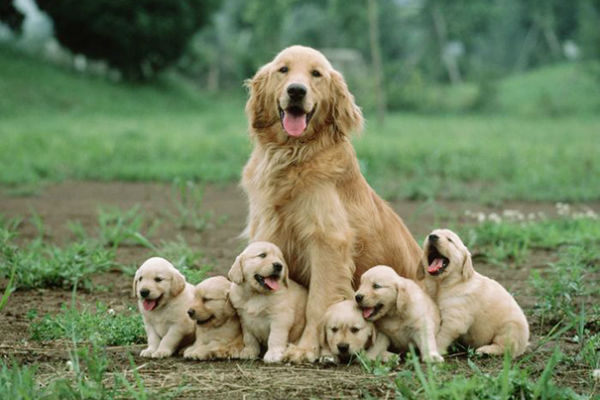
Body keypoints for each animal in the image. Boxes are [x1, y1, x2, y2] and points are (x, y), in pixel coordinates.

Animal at [241, 44, 420, 362]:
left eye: (316, 74)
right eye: (283, 70)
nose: (296, 91)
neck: (292, 154)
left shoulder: (327, 242)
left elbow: (319, 302)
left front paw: (305, 348)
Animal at [418, 230, 528, 358]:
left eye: (450, 240)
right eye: (430, 234)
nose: (432, 236)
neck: (442, 285)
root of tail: (524, 345)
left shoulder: (454, 318)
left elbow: (441, 337)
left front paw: (434, 352)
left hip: (510, 329)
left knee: (504, 348)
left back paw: (485, 350)